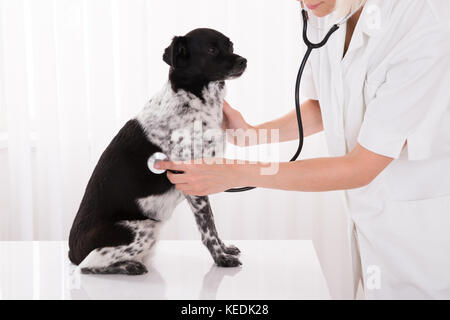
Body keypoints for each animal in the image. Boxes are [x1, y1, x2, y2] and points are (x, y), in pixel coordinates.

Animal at [68, 28, 248, 276]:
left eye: (230, 45)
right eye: (211, 49)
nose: (244, 61)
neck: (194, 100)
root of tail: (72, 252)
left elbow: (213, 226)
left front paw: (225, 249)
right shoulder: (193, 183)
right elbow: (208, 228)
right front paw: (220, 258)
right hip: (144, 227)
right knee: (87, 266)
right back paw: (129, 266)